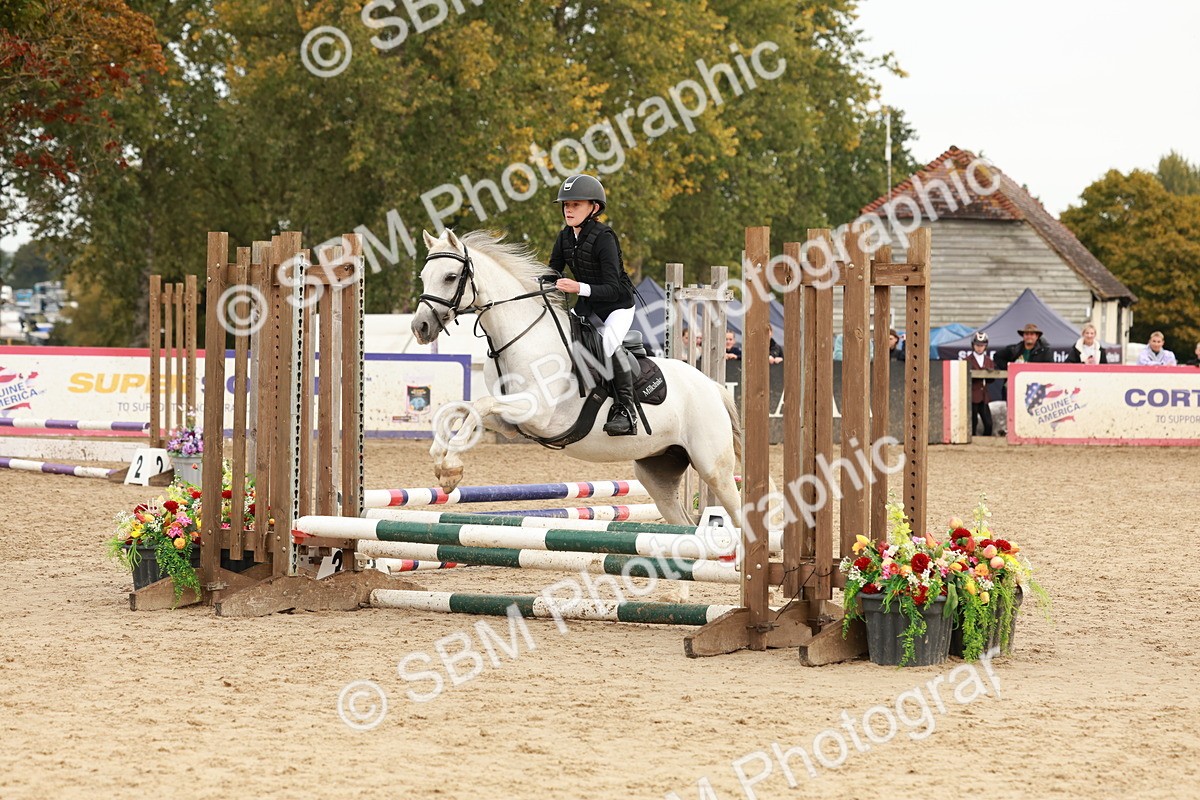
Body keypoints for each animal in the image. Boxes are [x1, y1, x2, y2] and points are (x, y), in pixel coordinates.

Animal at [410, 229, 744, 529]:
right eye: (424, 276)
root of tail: (712, 387)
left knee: (738, 512)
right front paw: (440, 458)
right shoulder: (509, 422)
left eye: (450, 277)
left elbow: (478, 405)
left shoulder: (538, 413)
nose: (420, 327)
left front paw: (451, 467)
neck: (523, 337)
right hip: (657, 470)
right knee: (683, 522)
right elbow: (462, 407)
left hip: (713, 468)